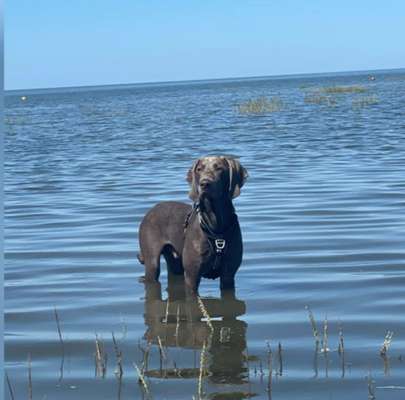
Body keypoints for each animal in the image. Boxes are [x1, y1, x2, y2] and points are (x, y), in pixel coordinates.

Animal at [137, 155, 248, 296]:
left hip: (175, 264)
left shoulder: (228, 275)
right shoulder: (192, 276)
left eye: (219, 168)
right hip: (152, 260)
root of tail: (151, 210)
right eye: (199, 169)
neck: (215, 225)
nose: (204, 183)